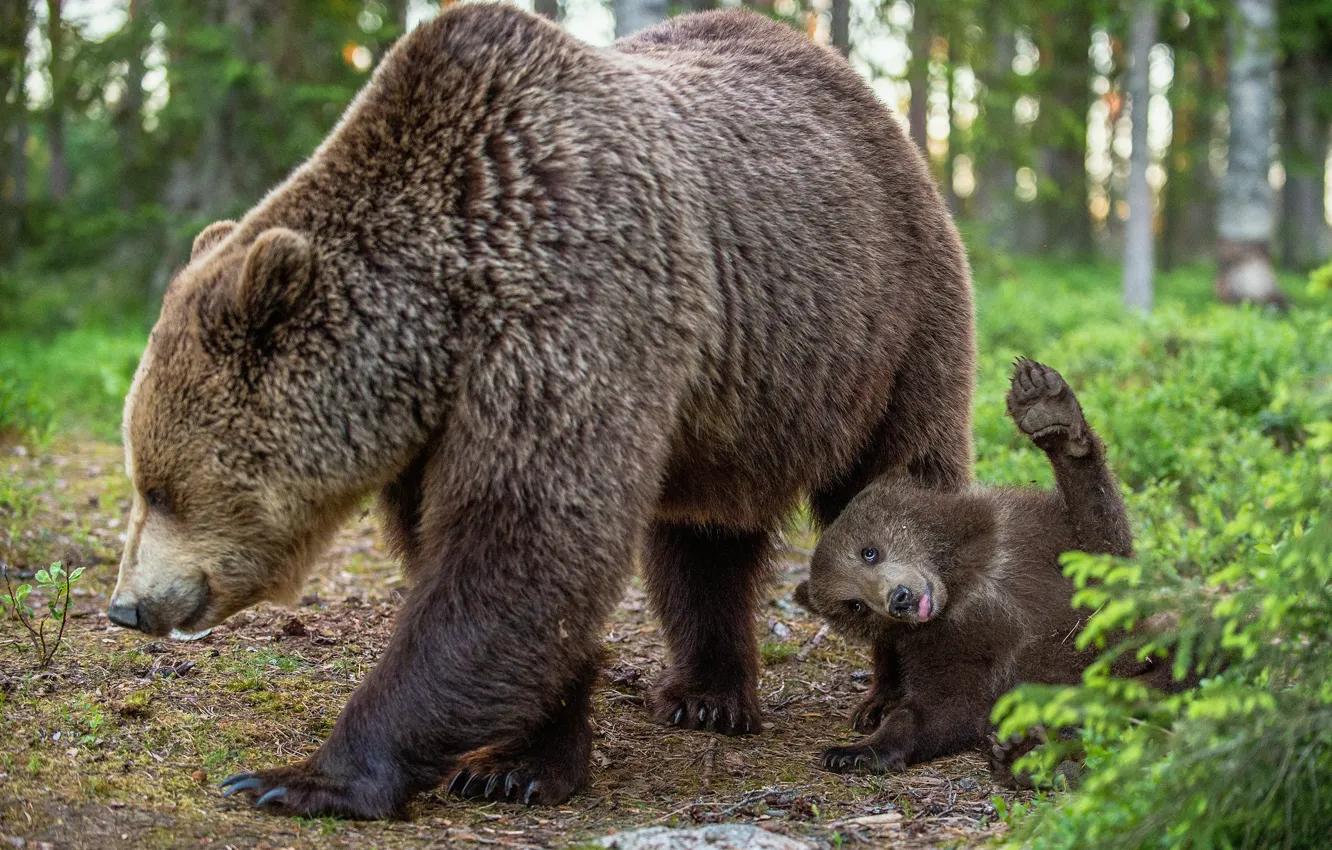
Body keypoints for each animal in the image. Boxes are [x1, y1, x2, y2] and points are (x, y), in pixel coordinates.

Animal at [106, 5, 975, 818]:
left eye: (160, 487)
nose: (126, 607)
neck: (445, 318)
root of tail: (857, 87)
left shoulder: (565, 314)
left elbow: (522, 547)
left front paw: (304, 778)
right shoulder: (442, 424)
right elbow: (489, 563)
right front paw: (519, 758)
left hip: (885, 328)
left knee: (896, 486)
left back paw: (888, 695)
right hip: (732, 403)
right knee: (699, 538)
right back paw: (706, 694)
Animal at [795, 359, 1181, 776]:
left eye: (869, 552)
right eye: (854, 605)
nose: (900, 599)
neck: (960, 575)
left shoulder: (1026, 537)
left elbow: (1101, 540)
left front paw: (1048, 409)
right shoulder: (945, 639)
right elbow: (944, 705)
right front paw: (854, 751)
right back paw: (1025, 751)